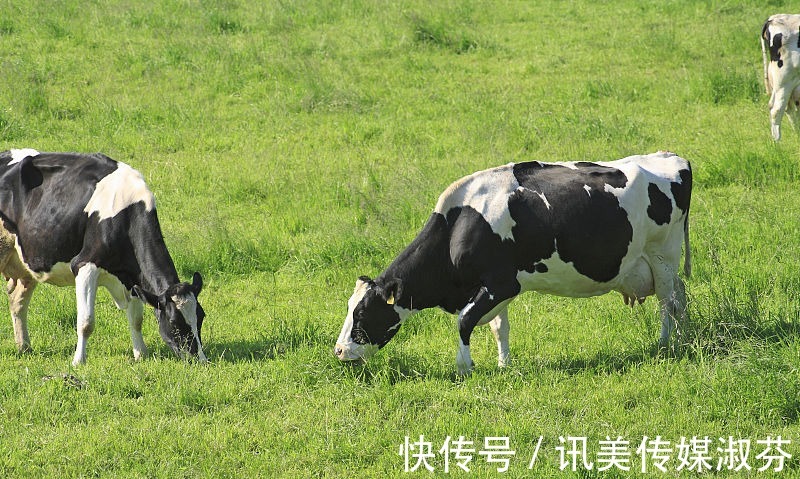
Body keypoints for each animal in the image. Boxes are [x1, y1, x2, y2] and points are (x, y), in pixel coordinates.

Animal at [0, 148, 206, 366]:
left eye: (201, 315)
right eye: (174, 322)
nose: (200, 359)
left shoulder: (131, 278)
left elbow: (136, 320)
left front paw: (141, 354)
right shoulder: (85, 265)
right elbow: (86, 322)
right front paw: (78, 361)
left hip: (26, 261)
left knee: (17, 302)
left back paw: (24, 347)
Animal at [334, 152, 692, 376]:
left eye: (362, 313)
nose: (338, 351)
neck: (458, 226)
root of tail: (671, 157)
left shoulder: (501, 283)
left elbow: (464, 321)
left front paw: (464, 368)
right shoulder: (496, 287)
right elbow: (498, 327)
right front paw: (503, 365)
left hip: (662, 255)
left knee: (667, 302)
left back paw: (663, 344)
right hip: (661, 265)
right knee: (680, 297)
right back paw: (683, 339)